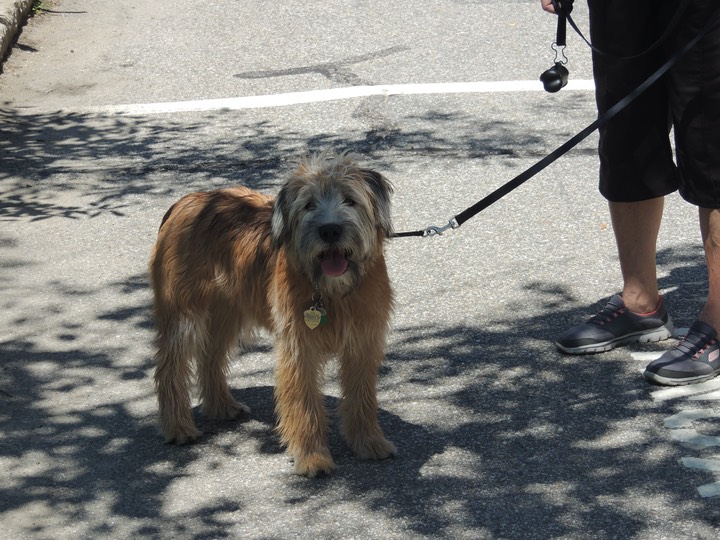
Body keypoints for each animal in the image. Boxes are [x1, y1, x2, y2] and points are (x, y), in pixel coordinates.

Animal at [151, 153, 396, 476]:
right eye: (308, 205)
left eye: (350, 200)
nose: (330, 230)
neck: (331, 292)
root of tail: (187, 201)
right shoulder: (298, 347)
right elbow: (303, 401)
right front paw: (312, 457)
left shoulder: (363, 343)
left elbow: (362, 396)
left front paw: (369, 442)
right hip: (185, 314)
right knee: (170, 367)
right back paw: (178, 426)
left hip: (227, 313)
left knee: (210, 357)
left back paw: (221, 406)